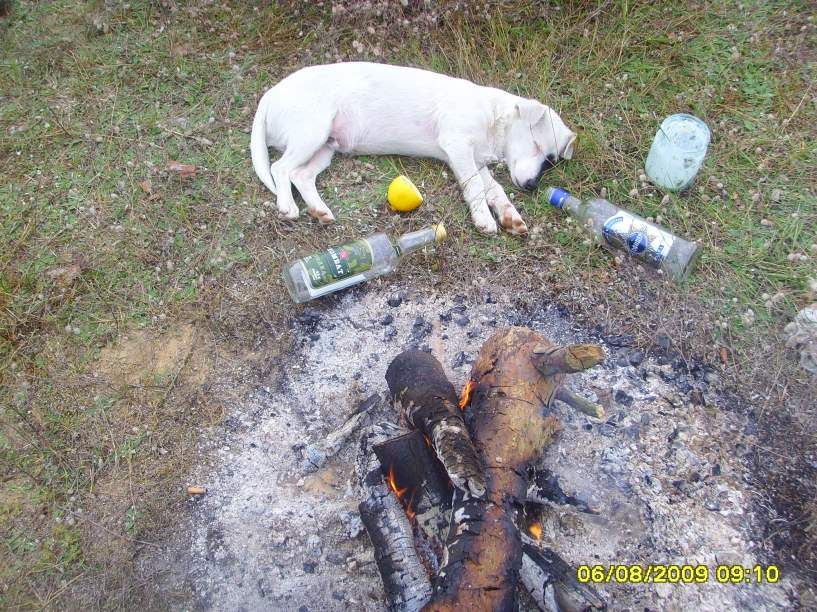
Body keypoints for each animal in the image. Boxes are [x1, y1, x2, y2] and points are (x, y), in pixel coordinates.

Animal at [250, 62, 576, 235]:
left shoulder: (472, 159)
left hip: (326, 147)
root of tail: (270, 94)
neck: (493, 115)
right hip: (311, 133)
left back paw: (319, 211)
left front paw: (510, 216)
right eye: (537, 146)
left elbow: (493, 189)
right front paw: (484, 218)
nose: (532, 186)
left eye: (550, 160)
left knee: (301, 175)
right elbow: (475, 189)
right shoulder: (459, 149)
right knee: (280, 168)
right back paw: (287, 206)